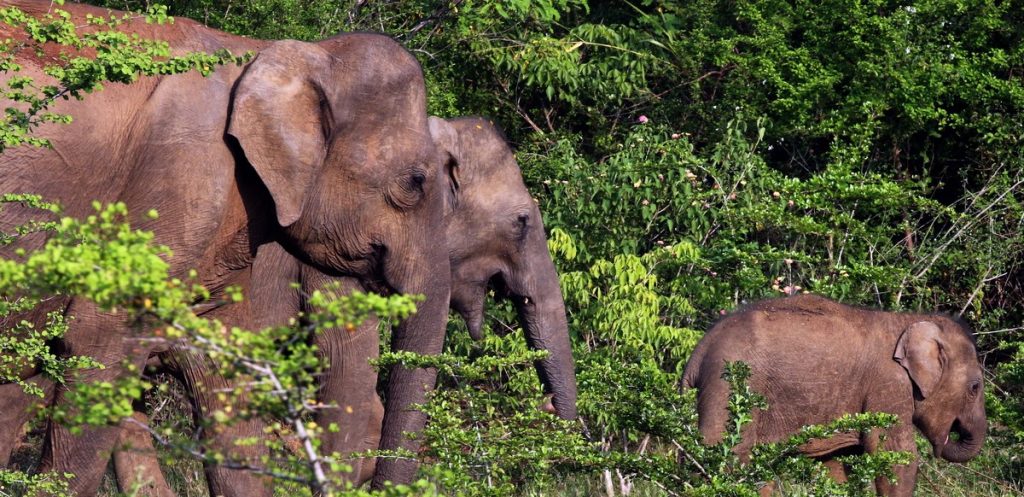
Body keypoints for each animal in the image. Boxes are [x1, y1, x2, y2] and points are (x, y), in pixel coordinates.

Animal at [684, 293, 987, 493]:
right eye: (975, 387)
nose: (946, 439)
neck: (909, 320)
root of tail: (699, 351)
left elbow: (836, 464)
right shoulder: (888, 384)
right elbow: (893, 454)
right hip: (731, 383)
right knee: (728, 452)